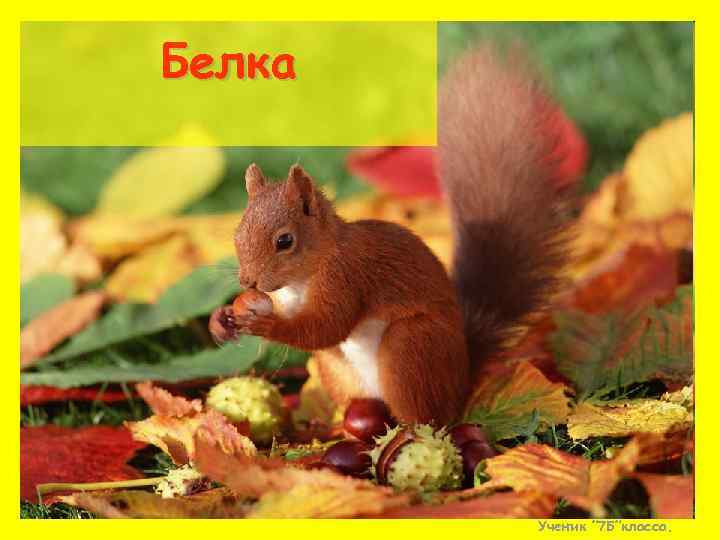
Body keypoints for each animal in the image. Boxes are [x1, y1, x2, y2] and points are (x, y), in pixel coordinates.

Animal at [209, 46, 569, 426]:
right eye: (237, 233)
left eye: (284, 241)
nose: (248, 282)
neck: (303, 276)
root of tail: (462, 378)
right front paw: (220, 321)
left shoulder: (346, 277)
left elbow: (326, 327)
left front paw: (265, 325)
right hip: (338, 371)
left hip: (411, 348)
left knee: (429, 419)